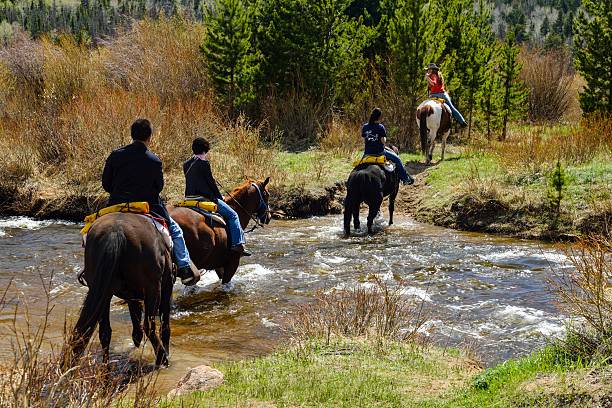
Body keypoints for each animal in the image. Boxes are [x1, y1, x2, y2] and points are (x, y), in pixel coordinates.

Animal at [65, 214, 173, 366]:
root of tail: (115, 233)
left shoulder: (131, 295)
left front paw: (136, 338)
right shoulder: (167, 286)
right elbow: (164, 323)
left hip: (104, 292)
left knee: (104, 332)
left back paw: (105, 369)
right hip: (153, 288)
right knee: (149, 325)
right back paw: (162, 359)